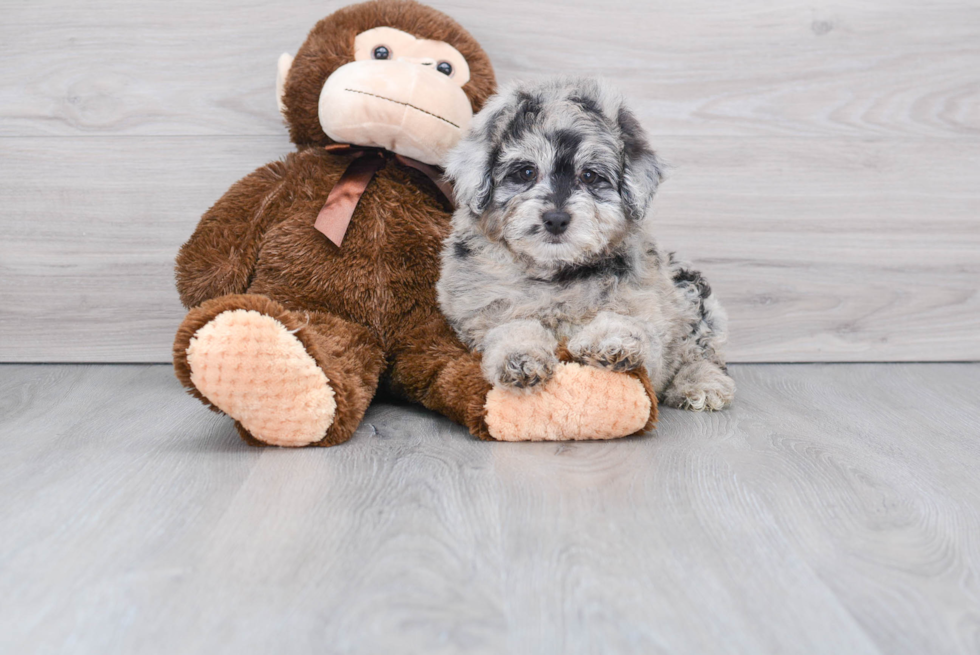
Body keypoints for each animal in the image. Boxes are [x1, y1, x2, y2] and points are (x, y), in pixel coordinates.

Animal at [438, 78, 736, 410]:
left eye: (590, 176)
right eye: (526, 172)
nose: (556, 219)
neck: (557, 275)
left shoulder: (653, 315)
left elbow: (636, 327)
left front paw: (612, 340)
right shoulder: (479, 317)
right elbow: (510, 327)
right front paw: (519, 356)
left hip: (692, 294)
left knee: (701, 352)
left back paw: (701, 383)